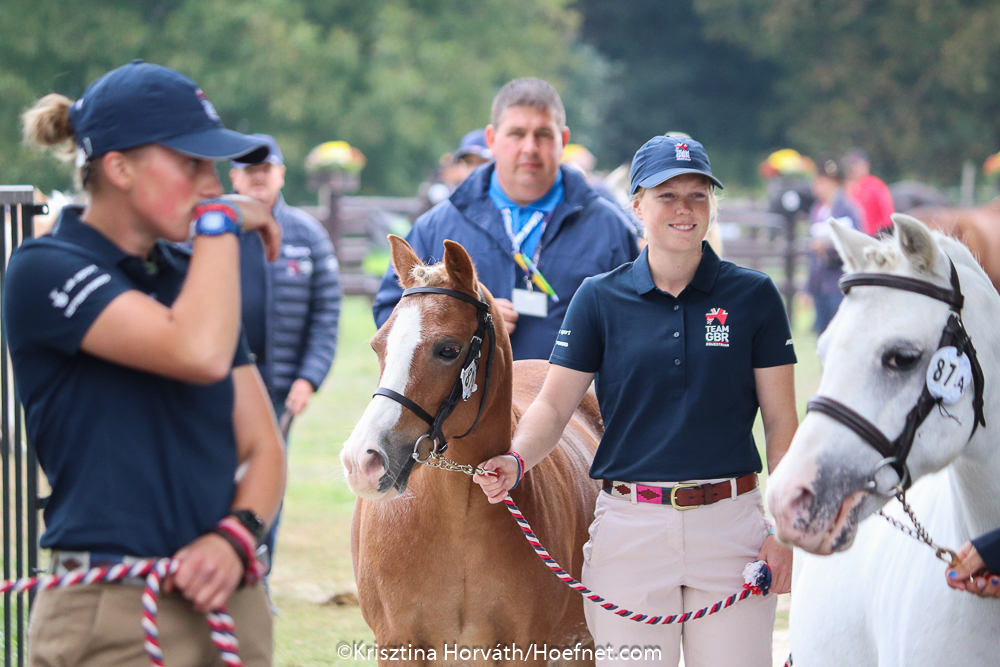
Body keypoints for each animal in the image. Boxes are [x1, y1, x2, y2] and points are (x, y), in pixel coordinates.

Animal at [340, 236, 602, 666]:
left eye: (448, 349)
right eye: (379, 346)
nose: (362, 460)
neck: (456, 519)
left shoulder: (527, 649)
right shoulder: (397, 645)